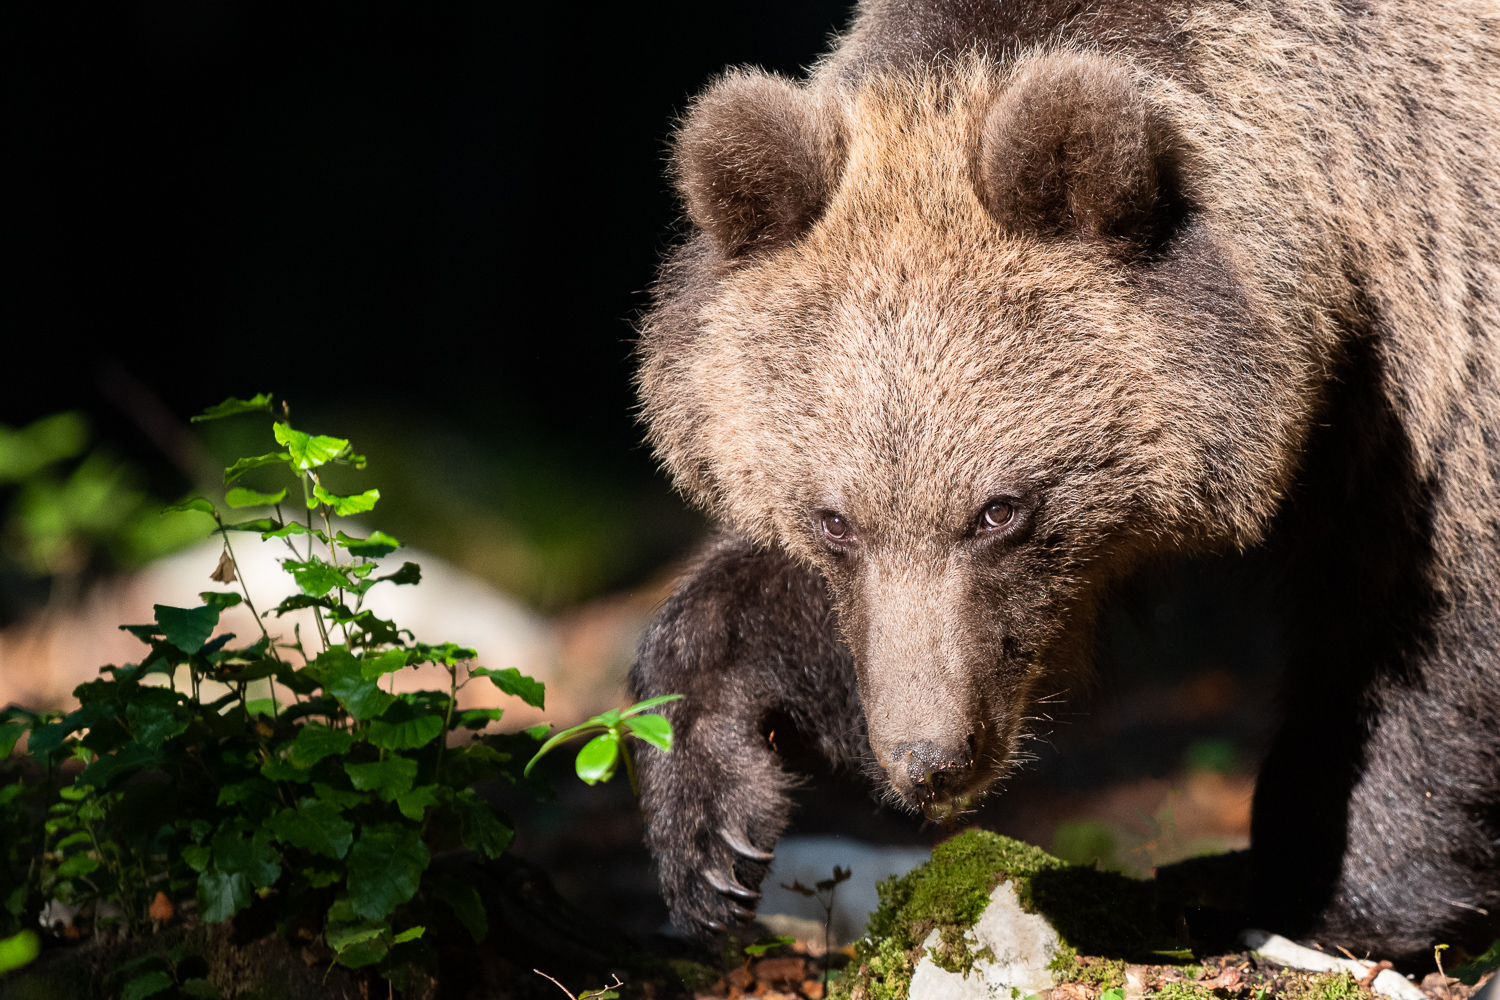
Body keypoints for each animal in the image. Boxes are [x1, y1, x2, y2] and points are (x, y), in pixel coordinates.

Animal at [627, 0, 1500, 959]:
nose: (930, 760)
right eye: (833, 520)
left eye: (1000, 511)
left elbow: (1416, 637)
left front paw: (1333, 894)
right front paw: (712, 830)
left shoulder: (1437, 342)